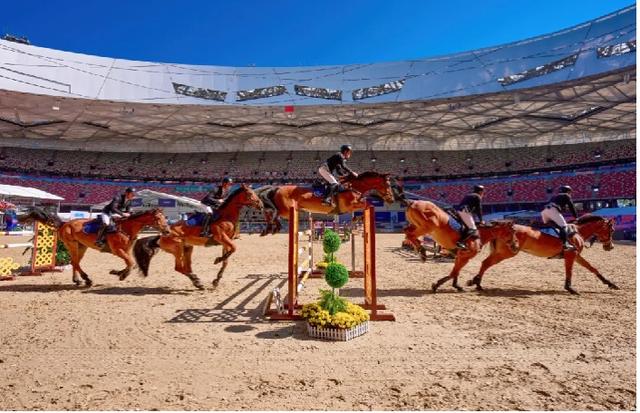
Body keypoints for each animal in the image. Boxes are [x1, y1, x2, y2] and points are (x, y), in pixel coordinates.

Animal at [19, 206, 170, 286]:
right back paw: (86, 279)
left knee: (75, 262)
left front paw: (117, 272)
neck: (126, 228)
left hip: (81, 247)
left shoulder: (125, 250)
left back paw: (78, 280)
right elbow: (131, 263)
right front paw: (121, 275)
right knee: (74, 262)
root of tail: (64, 223)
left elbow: (129, 263)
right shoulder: (117, 250)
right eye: (158, 218)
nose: (167, 231)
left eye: (165, 218)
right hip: (72, 244)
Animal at [134, 183, 264, 290]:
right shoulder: (222, 237)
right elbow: (234, 249)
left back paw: (196, 282)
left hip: (187, 248)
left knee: (186, 267)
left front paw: (216, 280)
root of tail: (161, 236)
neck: (227, 216)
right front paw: (217, 260)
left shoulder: (225, 242)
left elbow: (227, 259)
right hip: (177, 247)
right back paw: (196, 280)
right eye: (250, 194)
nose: (261, 206)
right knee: (179, 267)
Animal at [256, 171, 396, 235]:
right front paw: (357, 219)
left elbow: (365, 204)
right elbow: (365, 204)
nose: (392, 199)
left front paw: (357, 219)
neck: (353, 187)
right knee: (272, 212)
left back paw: (271, 228)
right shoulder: (348, 205)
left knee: (270, 211)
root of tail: (277, 188)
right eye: (388, 185)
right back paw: (270, 228)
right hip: (285, 209)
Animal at [464, 212, 620, 292]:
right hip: (506, 253)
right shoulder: (571, 255)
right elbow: (569, 270)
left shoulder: (576, 256)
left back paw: (476, 282)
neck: (578, 231)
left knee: (485, 263)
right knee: (486, 263)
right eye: (612, 230)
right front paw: (569, 288)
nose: (610, 247)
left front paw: (610, 284)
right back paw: (476, 282)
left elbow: (592, 268)